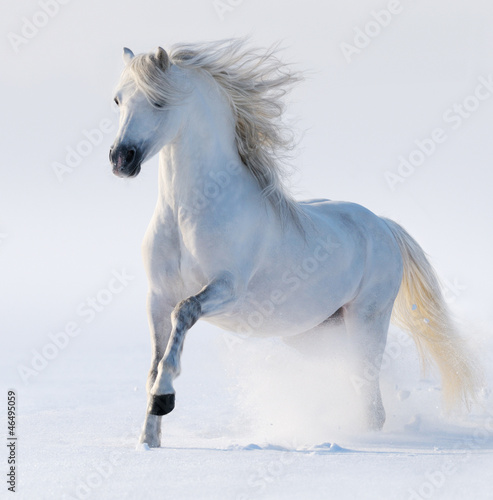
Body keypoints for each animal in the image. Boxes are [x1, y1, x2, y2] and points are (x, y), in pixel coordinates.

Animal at [109, 38, 478, 446]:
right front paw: (149, 439)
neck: (187, 214)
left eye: (158, 101)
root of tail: (382, 225)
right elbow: (155, 360)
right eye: (118, 100)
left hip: (367, 320)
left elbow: (183, 316)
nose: (120, 159)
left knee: (371, 399)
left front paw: (164, 398)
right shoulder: (157, 297)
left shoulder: (226, 289)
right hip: (315, 333)